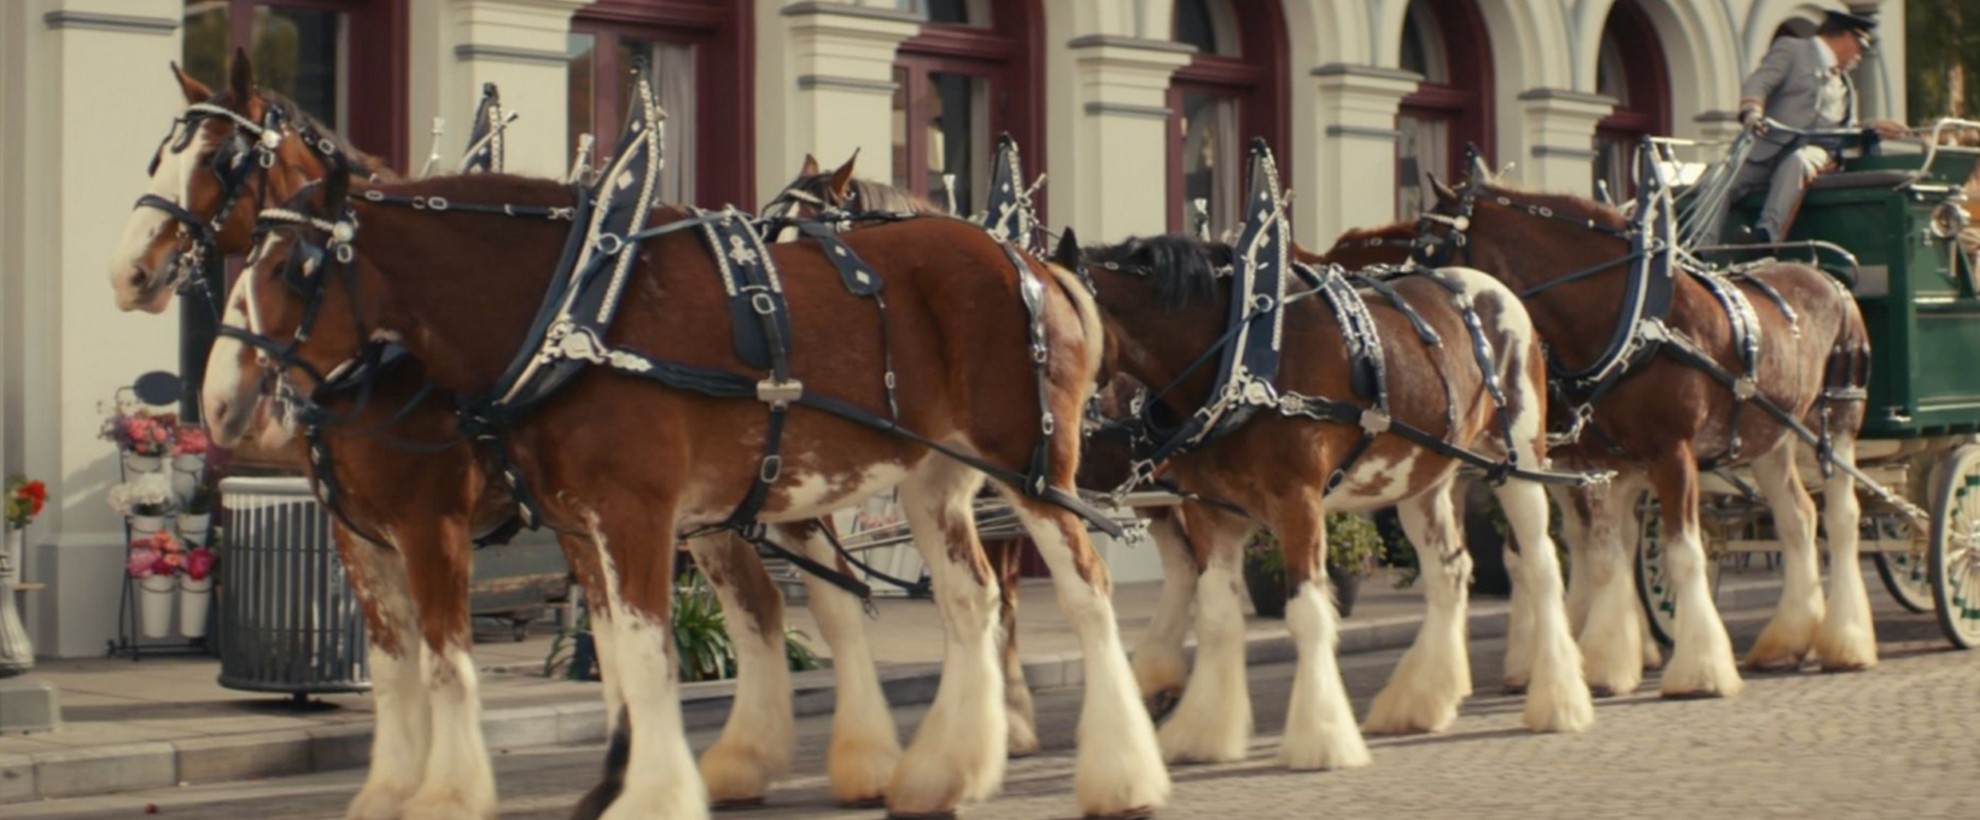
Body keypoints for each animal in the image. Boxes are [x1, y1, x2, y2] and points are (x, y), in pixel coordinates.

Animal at [112, 57, 902, 812]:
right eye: (158, 156)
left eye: (219, 159)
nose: (130, 273)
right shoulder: (363, 532)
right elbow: (413, 667)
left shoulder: (433, 522)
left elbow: (449, 661)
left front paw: (455, 790)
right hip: (715, 515)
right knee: (758, 608)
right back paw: (748, 760)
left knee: (835, 603)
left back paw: (866, 761)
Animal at [208, 171, 1164, 812]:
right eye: (230, 248)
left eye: (294, 267)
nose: (219, 403)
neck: (573, 315)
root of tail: (1030, 261)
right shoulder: (529, 524)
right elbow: (427, 663)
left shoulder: (574, 516)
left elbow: (624, 654)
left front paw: (634, 794)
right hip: (932, 478)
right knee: (967, 604)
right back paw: (942, 770)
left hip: (1034, 472)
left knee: (1086, 596)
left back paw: (1122, 772)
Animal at [1425, 168, 1869, 697]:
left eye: (1427, 247)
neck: (1633, 319)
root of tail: (1827, 277)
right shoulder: (1600, 461)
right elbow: (1604, 554)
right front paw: (1601, 661)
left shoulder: (1669, 455)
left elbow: (1678, 553)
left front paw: (1698, 670)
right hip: (1770, 438)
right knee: (1798, 518)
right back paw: (1786, 640)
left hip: (1837, 420)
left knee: (1842, 517)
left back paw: (1846, 643)